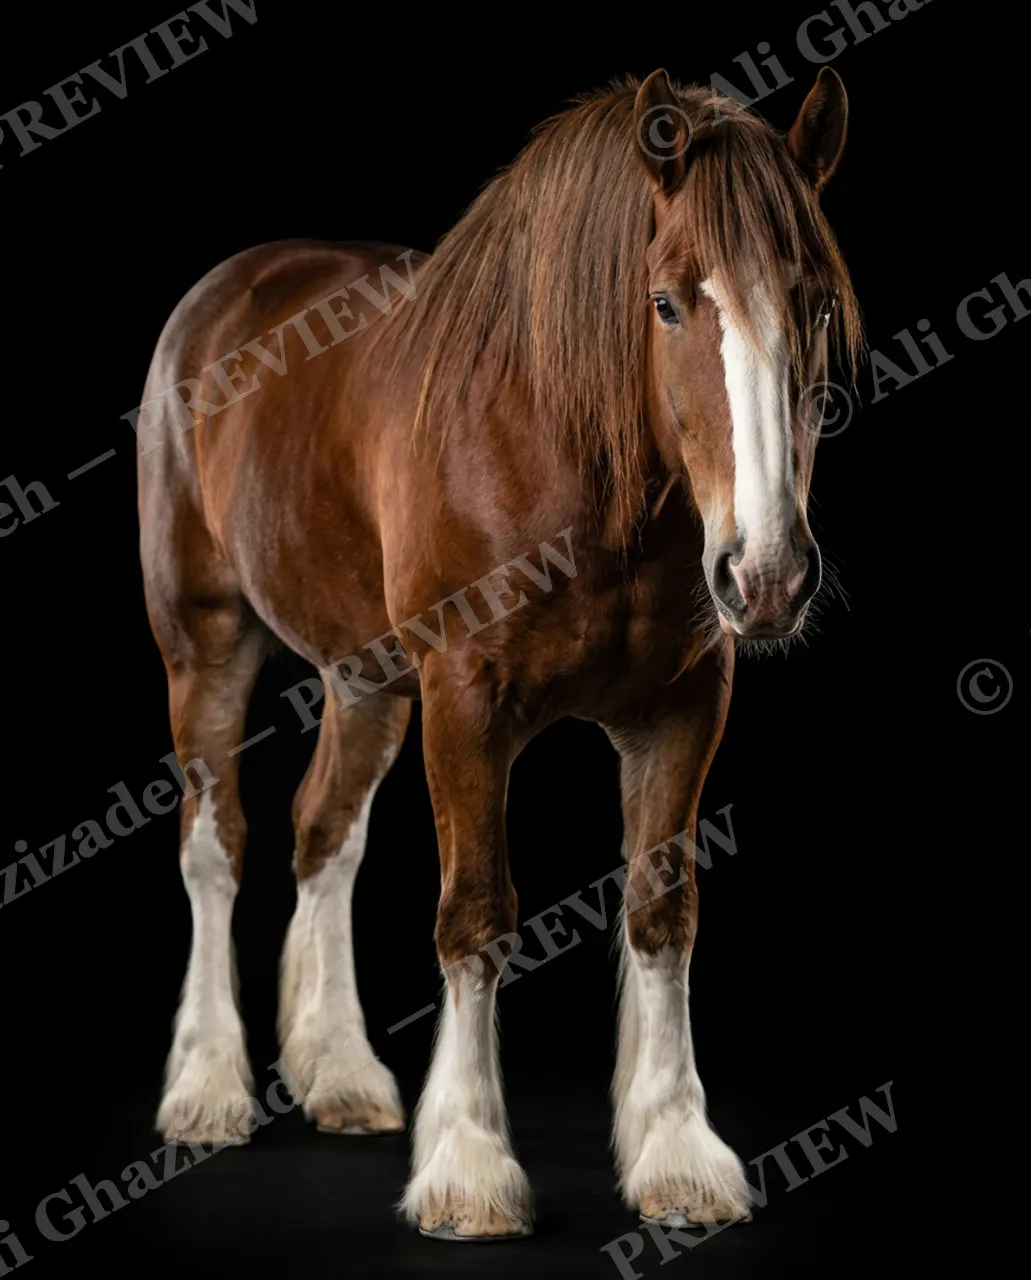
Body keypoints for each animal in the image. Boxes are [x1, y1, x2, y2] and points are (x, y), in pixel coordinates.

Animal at [136, 66, 860, 1240]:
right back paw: (206, 1085)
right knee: (216, 840)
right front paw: (469, 1168)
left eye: (816, 303)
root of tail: (233, 286)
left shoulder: (680, 710)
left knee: (322, 832)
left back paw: (340, 1070)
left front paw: (674, 1150)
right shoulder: (466, 702)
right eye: (666, 303)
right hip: (204, 639)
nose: (766, 575)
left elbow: (662, 910)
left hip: (365, 675)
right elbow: (476, 914)